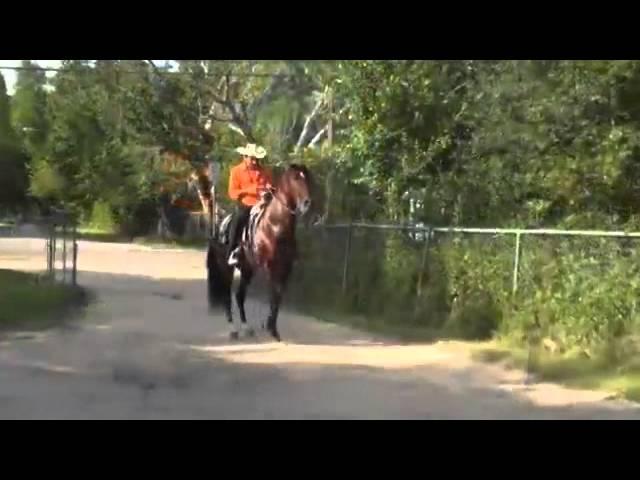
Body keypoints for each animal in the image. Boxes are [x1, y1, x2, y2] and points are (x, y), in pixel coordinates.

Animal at [206, 164, 314, 342]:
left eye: (308, 177)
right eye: (295, 178)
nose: (306, 203)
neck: (275, 226)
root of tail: (221, 225)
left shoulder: (286, 268)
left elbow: (278, 295)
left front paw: (272, 328)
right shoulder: (270, 266)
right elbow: (273, 293)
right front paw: (270, 327)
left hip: (247, 269)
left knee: (239, 295)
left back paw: (247, 327)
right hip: (227, 268)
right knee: (227, 295)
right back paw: (232, 329)